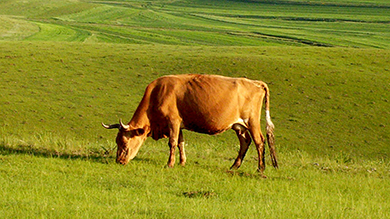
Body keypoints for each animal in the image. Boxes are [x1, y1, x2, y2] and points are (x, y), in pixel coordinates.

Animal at [102, 74, 276, 175]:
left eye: (124, 143)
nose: (119, 161)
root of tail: (255, 83)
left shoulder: (172, 121)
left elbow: (172, 143)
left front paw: (170, 164)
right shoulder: (179, 123)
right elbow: (181, 142)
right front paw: (182, 162)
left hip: (252, 121)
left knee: (259, 141)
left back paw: (260, 168)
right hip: (239, 125)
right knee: (245, 142)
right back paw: (234, 166)